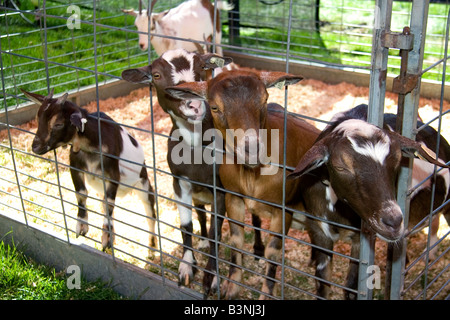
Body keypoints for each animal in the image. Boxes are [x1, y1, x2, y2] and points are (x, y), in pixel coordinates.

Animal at [22, 88, 157, 252]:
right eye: (37, 118)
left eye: (58, 124)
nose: (35, 147)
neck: (90, 146)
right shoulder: (75, 166)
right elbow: (81, 193)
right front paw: (82, 225)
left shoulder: (113, 174)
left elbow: (109, 203)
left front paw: (106, 236)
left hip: (144, 185)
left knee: (150, 215)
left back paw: (152, 247)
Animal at [121, 48, 256, 290]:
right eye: (156, 75)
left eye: (203, 67)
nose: (194, 105)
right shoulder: (180, 182)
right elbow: (186, 225)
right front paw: (186, 267)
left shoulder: (220, 189)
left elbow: (216, 231)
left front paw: (212, 277)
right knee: (201, 214)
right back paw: (201, 242)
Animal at [165, 70, 320, 300]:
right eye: (214, 107)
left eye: (264, 99)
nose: (252, 149)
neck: (252, 175)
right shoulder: (233, 198)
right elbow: (236, 241)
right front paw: (231, 288)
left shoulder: (283, 209)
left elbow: (273, 253)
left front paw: (266, 294)